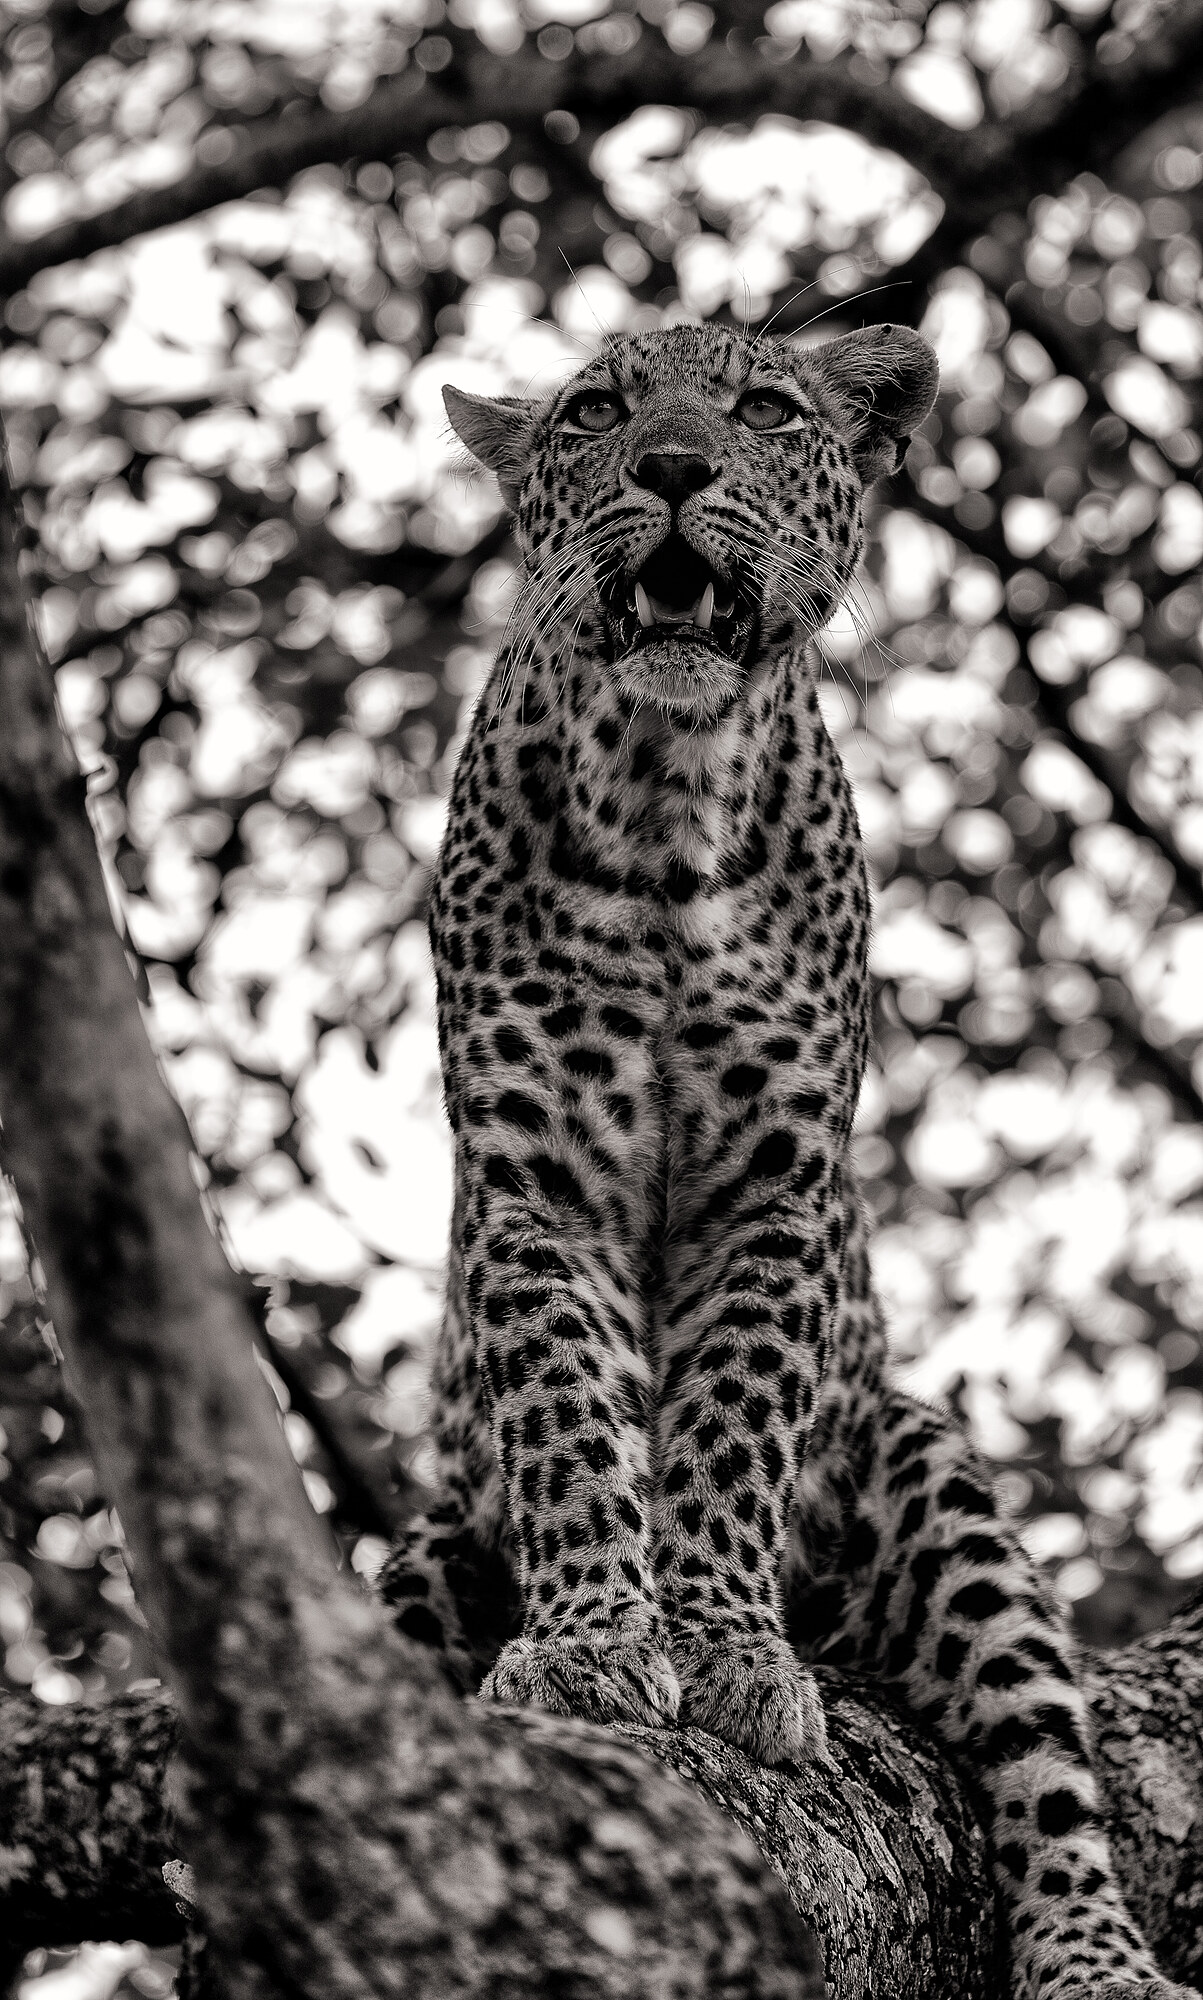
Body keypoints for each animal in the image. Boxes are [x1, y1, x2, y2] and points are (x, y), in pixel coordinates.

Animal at [380, 319, 1198, 2000]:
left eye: (761, 407)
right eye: (593, 413)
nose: (672, 467)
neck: (662, 798)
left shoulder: (771, 1190)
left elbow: (727, 1431)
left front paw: (725, 1651)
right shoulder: (533, 1182)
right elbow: (568, 1420)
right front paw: (589, 1640)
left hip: (928, 1479)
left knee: (1046, 1775)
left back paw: (1094, 1959)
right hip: (427, 1551)